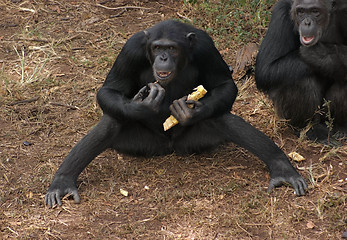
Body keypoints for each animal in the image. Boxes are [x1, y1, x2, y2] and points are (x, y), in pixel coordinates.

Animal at [44, 20, 308, 208]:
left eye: (171, 48)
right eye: (157, 48)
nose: (162, 57)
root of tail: (168, 146)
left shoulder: (205, 46)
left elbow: (224, 85)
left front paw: (190, 111)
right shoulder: (131, 48)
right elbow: (109, 90)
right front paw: (142, 106)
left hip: (194, 140)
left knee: (222, 118)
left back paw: (281, 167)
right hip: (141, 143)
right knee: (112, 121)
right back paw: (63, 181)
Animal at [256, 0, 347, 144]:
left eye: (315, 11)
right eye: (301, 12)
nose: (307, 22)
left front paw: (318, 54)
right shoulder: (280, 14)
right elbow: (265, 68)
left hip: (325, 116)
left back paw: (340, 128)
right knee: (299, 80)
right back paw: (309, 129)